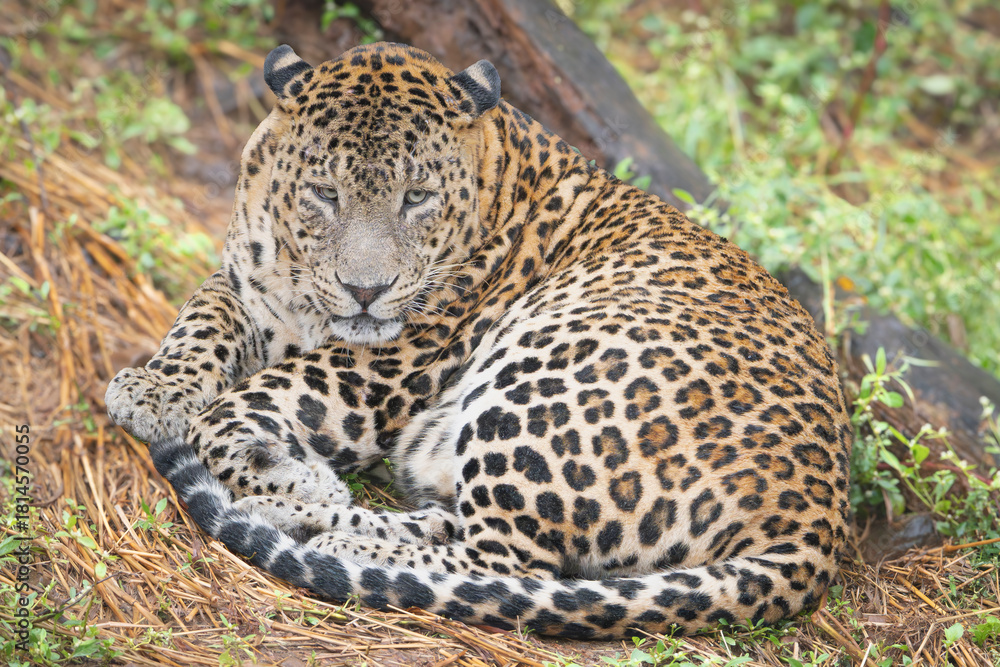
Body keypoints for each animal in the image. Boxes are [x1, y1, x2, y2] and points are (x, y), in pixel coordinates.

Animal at [105, 42, 853, 640]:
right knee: (458, 528)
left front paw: (293, 474)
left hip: (543, 375)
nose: (365, 289)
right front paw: (155, 389)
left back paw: (328, 530)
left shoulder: (382, 368)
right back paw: (312, 518)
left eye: (417, 197)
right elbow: (202, 318)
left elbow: (237, 406)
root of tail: (820, 521)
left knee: (503, 566)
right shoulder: (246, 282)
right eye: (323, 193)